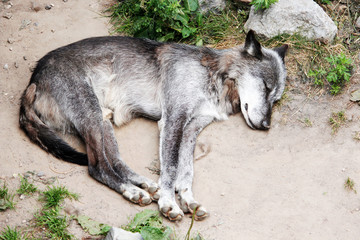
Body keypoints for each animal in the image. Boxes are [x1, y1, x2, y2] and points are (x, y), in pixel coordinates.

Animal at [19, 30, 288, 221]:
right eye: (266, 87)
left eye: (275, 98)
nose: (266, 125)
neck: (214, 75)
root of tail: (34, 78)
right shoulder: (173, 120)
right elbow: (170, 169)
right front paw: (169, 203)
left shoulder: (192, 128)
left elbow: (186, 171)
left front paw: (187, 199)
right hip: (92, 116)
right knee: (97, 167)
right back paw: (133, 192)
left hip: (103, 120)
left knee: (114, 160)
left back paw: (143, 185)